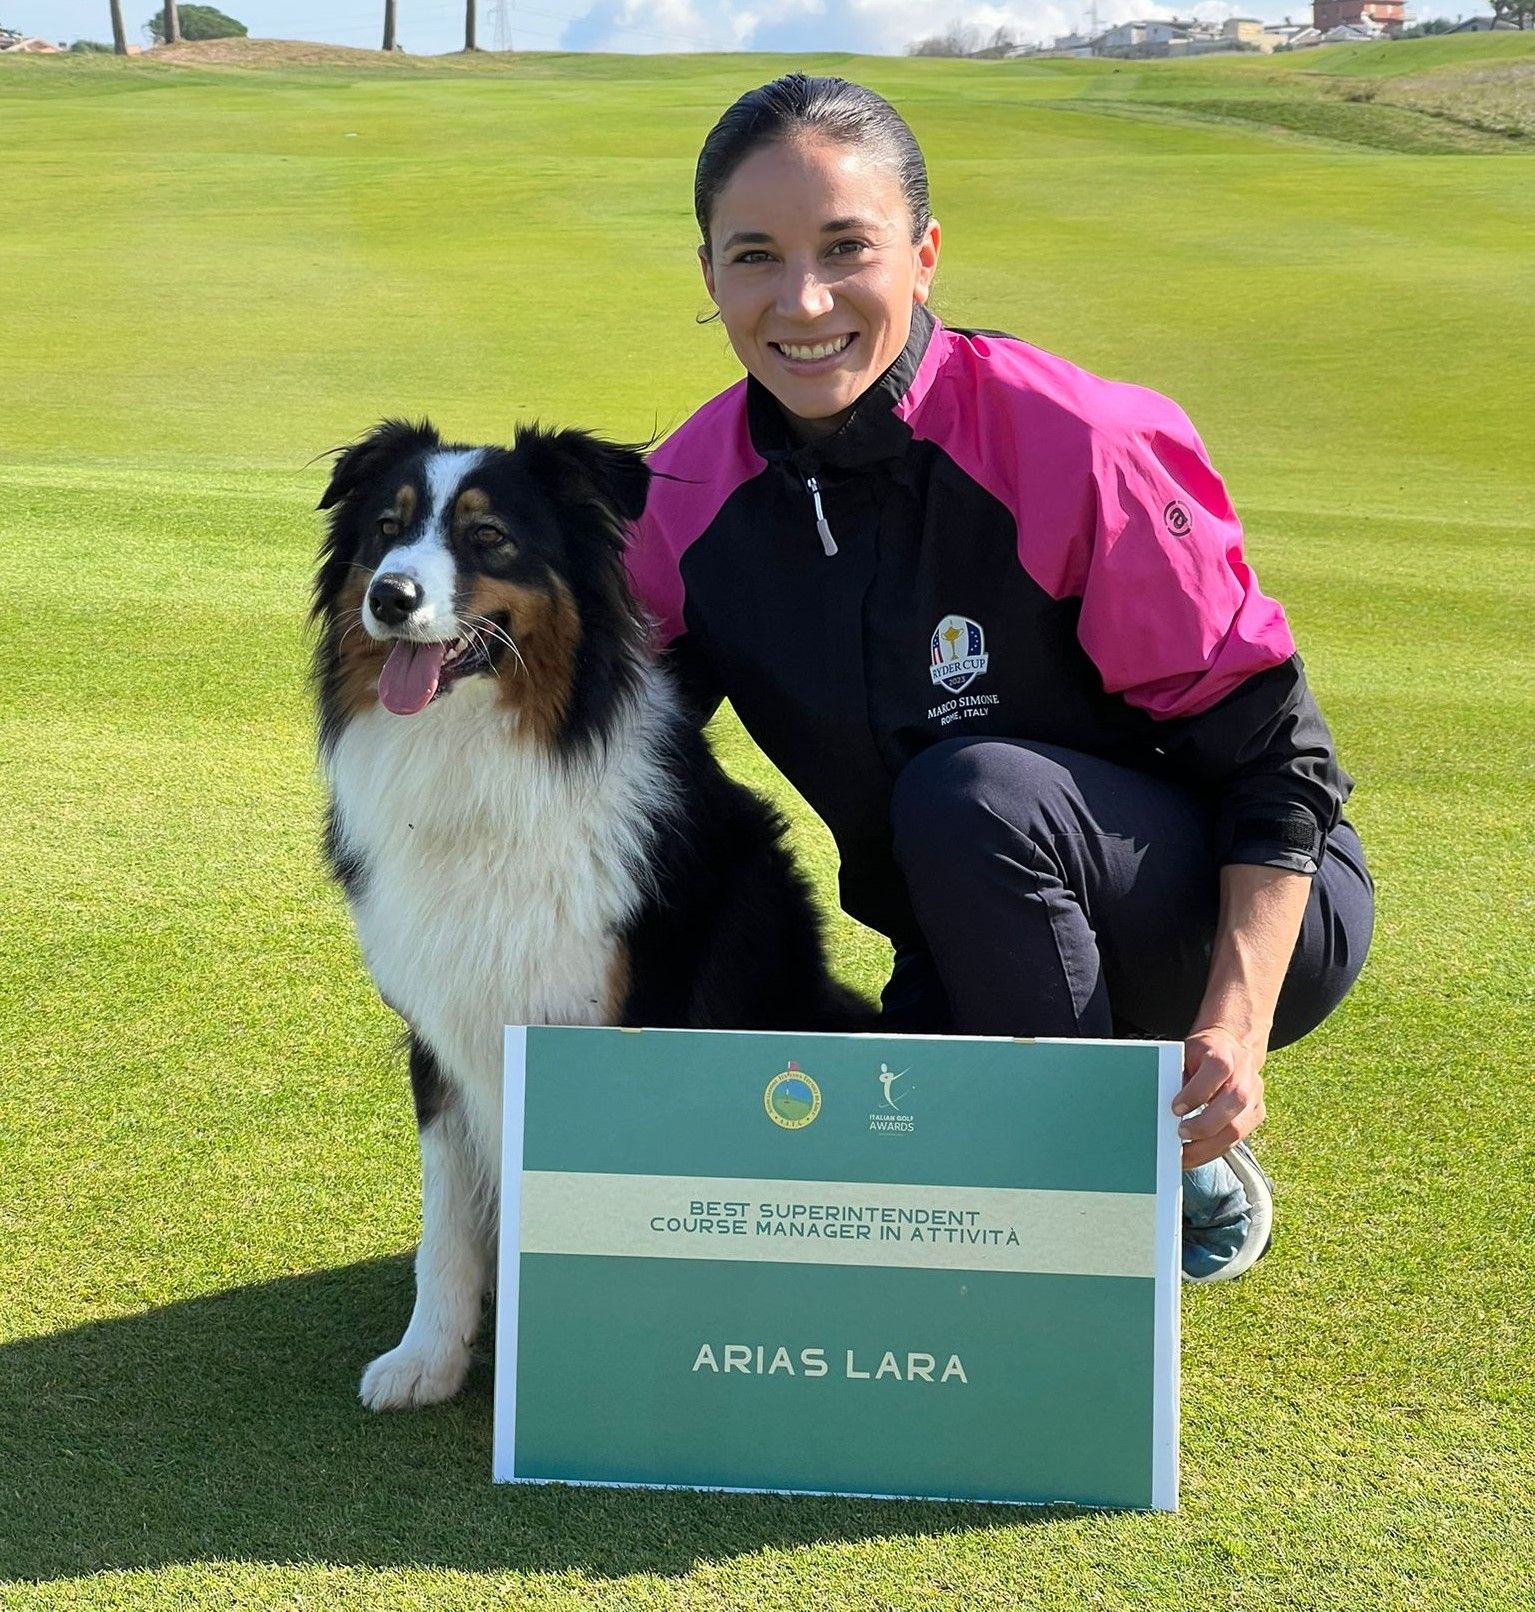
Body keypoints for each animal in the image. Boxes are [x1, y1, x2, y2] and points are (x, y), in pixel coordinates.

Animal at [311, 419, 864, 1412]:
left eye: (489, 537)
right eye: (385, 529)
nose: (390, 595)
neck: (480, 770)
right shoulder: (442, 1025)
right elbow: (446, 1221)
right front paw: (428, 1358)